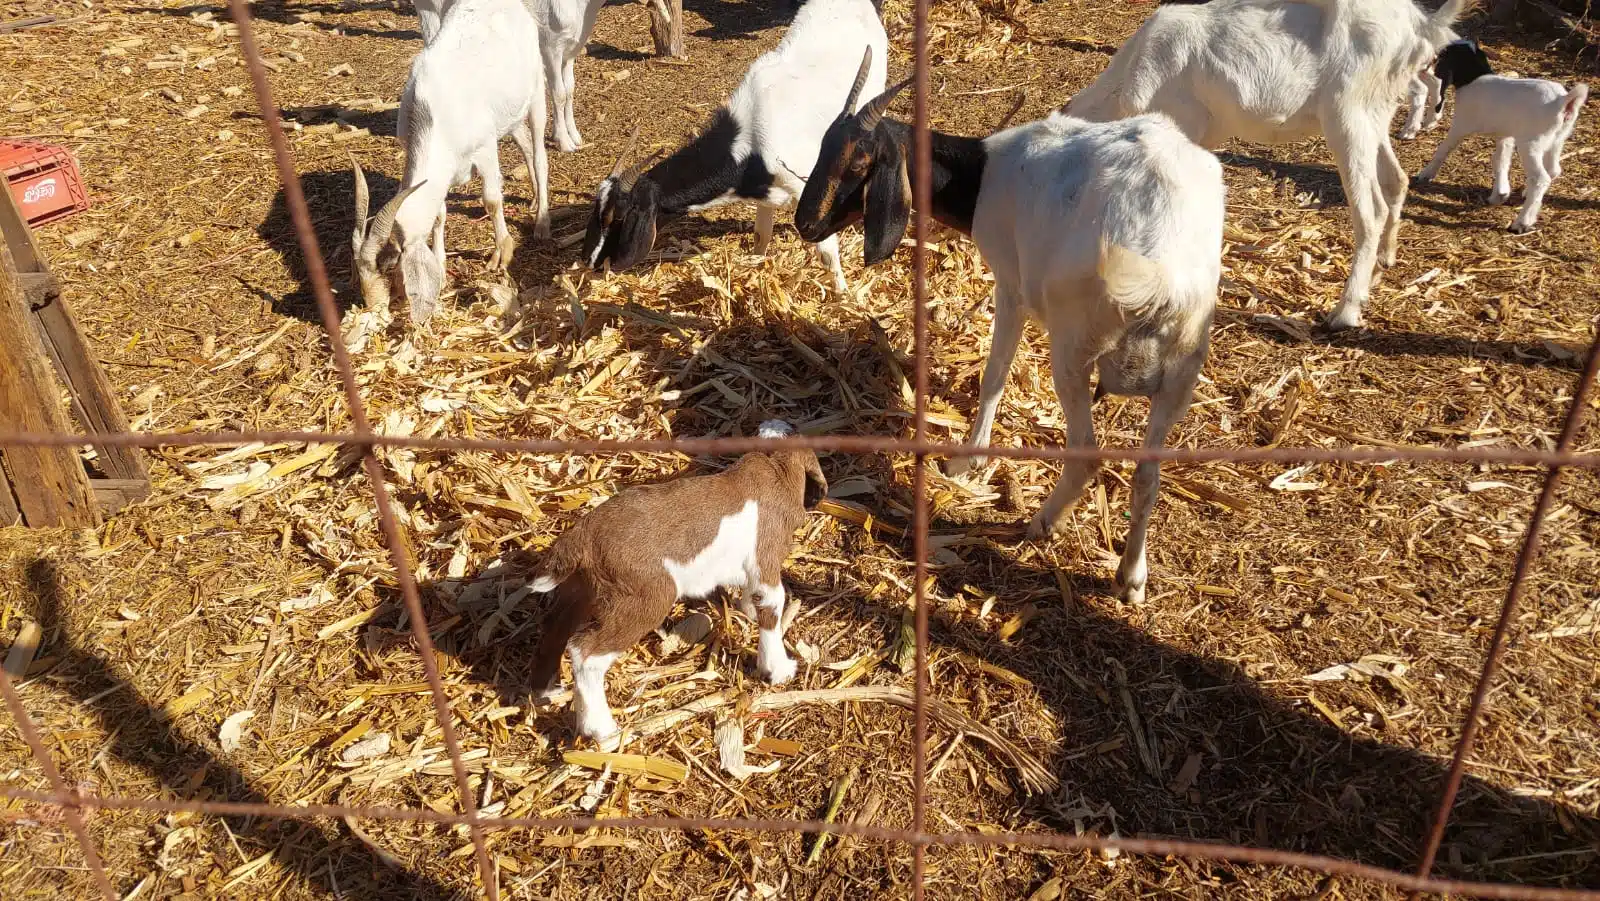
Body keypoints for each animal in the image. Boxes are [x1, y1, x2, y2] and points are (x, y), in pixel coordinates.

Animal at [350, 0, 550, 328]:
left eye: (390, 265)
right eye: (358, 269)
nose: (374, 307)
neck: (435, 116)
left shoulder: (485, 147)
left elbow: (492, 200)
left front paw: (501, 254)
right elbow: (439, 215)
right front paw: (441, 266)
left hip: (536, 91)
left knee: (540, 153)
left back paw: (542, 221)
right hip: (509, 115)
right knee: (522, 139)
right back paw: (533, 199)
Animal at [585, 0, 896, 292]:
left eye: (619, 217)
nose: (591, 262)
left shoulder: (806, 186)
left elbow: (827, 252)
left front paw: (843, 295)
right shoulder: (768, 193)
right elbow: (761, 235)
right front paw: (757, 268)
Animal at [796, 54, 1222, 604]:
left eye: (858, 164)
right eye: (824, 147)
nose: (805, 223)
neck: (986, 174)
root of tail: (1162, 278)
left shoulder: (1010, 286)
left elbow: (995, 371)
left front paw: (967, 460)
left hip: (1073, 349)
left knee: (1086, 453)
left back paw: (1041, 523)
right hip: (1184, 369)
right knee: (1149, 473)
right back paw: (1130, 578)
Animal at [1068, 0, 1465, 331]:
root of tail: (1420, 27)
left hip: (1347, 116)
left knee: (1371, 212)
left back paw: (1345, 312)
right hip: (1375, 116)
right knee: (1397, 180)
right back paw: (1387, 258)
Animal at [1414, 38, 1587, 236]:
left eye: (1444, 54)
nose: (1429, 60)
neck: (1474, 77)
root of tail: (1563, 101)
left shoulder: (1461, 126)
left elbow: (1443, 149)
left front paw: (1425, 174)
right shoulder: (1505, 136)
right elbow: (1500, 161)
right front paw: (1500, 194)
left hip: (1531, 144)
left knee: (1541, 178)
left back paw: (1522, 222)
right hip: (1556, 141)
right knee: (1553, 170)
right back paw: (1526, 194)